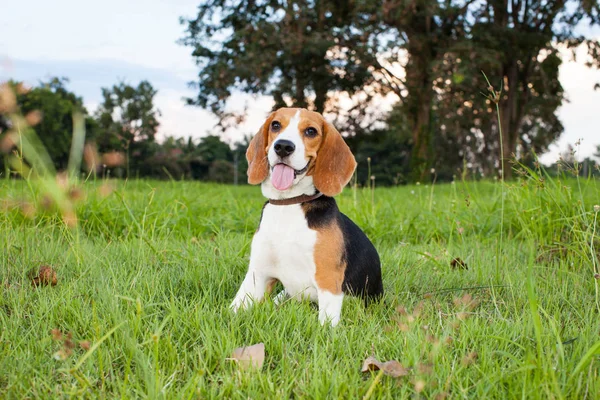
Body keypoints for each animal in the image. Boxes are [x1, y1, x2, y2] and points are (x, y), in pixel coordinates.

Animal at [232, 108, 382, 326]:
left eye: (311, 131)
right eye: (275, 125)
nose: (283, 146)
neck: (289, 204)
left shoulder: (328, 280)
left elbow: (325, 326)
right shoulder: (257, 274)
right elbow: (231, 312)